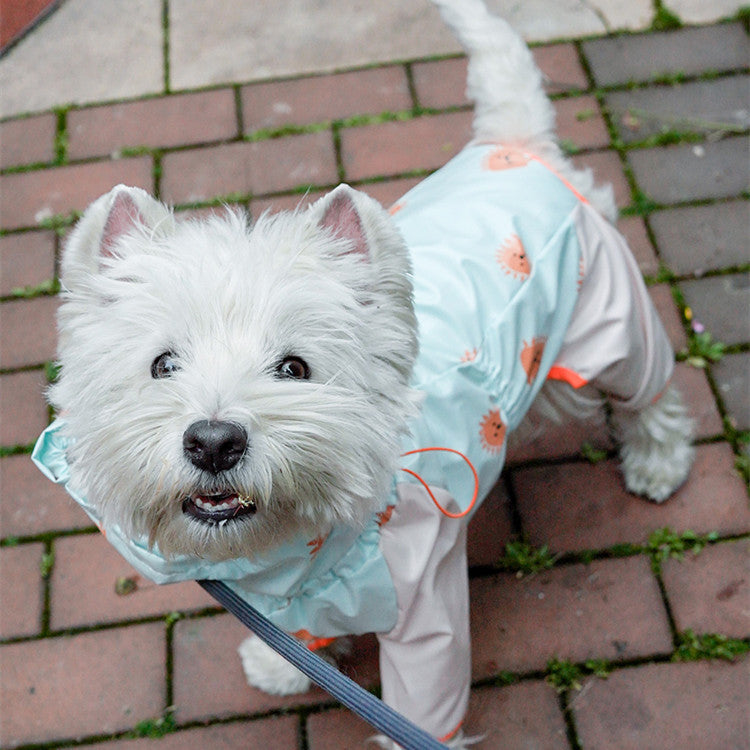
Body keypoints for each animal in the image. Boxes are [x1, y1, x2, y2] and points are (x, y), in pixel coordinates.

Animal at [33, 2, 692, 748]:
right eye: (162, 364)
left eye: (295, 367)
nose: (213, 442)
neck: (298, 550)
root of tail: (516, 146)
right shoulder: (287, 595)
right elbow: (296, 635)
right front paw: (280, 665)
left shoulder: (427, 609)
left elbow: (422, 708)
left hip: (613, 321)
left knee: (652, 391)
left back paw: (659, 466)